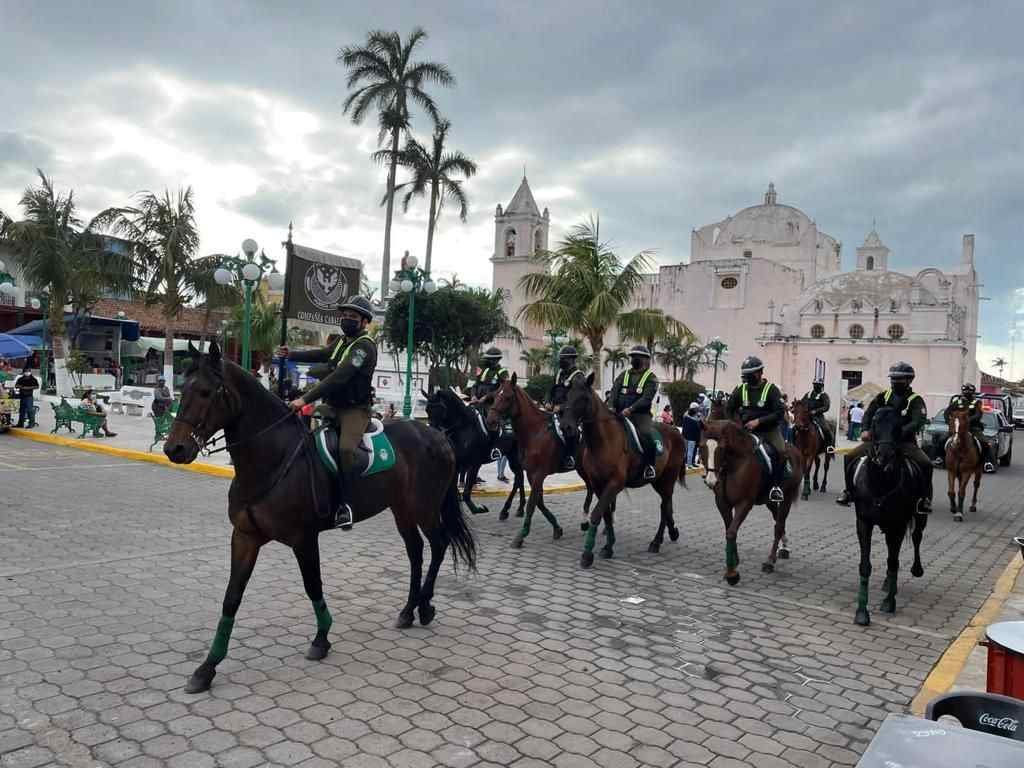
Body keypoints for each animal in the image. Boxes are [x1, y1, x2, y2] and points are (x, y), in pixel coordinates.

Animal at [162, 344, 475, 696]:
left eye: (205, 392)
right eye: (184, 389)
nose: (174, 448)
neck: (273, 459)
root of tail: (437, 436)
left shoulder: (303, 539)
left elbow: (313, 585)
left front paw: (322, 638)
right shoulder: (244, 537)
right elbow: (231, 598)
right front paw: (207, 667)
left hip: (424, 508)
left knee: (439, 545)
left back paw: (424, 606)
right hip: (402, 510)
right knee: (416, 552)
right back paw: (409, 610)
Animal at [485, 376, 598, 548]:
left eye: (508, 397)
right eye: (495, 395)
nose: (490, 421)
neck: (535, 432)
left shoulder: (539, 474)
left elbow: (533, 503)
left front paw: (521, 535)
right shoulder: (531, 474)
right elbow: (539, 501)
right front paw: (557, 528)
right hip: (582, 469)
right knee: (591, 489)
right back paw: (587, 522)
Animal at [561, 376, 688, 569]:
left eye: (584, 398)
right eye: (567, 396)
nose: (565, 427)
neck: (604, 441)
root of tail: (676, 432)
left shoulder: (615, 484)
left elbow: (597, 514)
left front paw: (587, 554)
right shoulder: (598, 485)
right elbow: (606, 514)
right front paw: (608, 547)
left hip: (666, 480)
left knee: (664, 507)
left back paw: (656, 542)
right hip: (659, 481)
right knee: (668, 506)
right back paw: (672, 532)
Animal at [700, 421, 802, 581]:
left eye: (721, 448)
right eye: (701, 446)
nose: (710, 481)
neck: (735, 464)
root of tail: (795, 451)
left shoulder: (744, 503)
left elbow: (731, 532)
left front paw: (732, 573)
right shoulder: (722, 503)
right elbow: (729, 529)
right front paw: (734, 560)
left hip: (787, 498)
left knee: (779, 526)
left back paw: (770, 561)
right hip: (770, 502)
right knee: (778, 520)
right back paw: (784, 547)